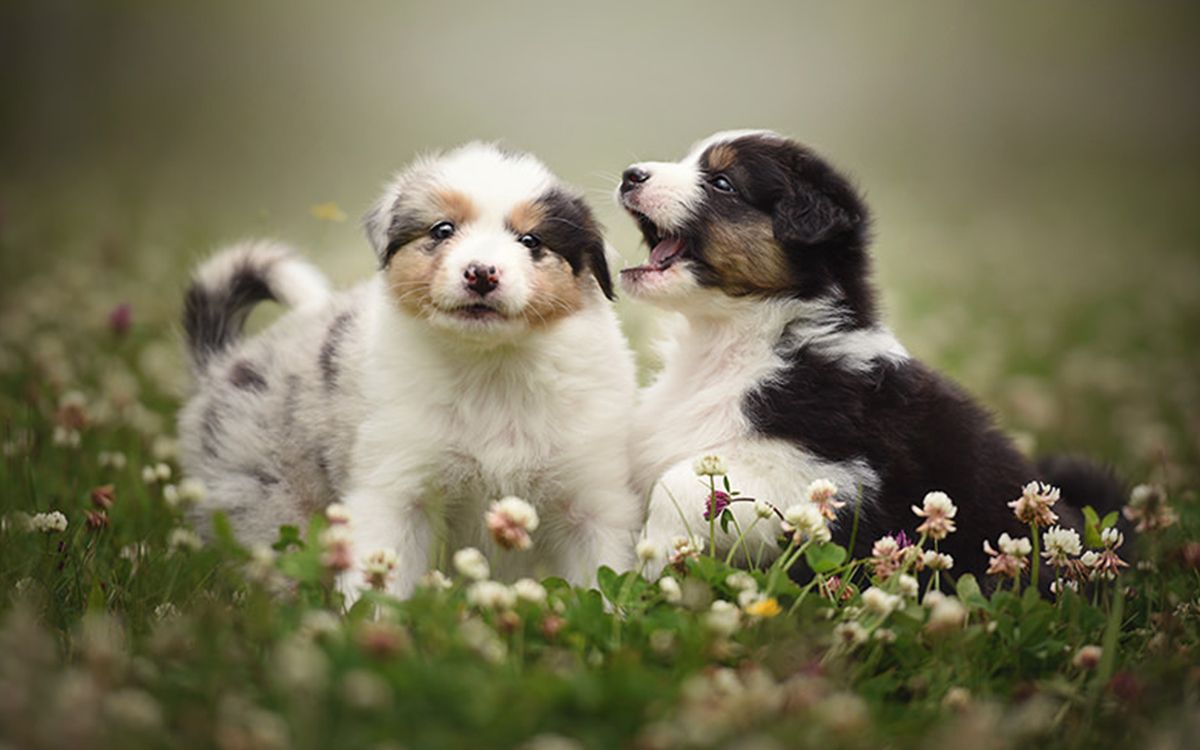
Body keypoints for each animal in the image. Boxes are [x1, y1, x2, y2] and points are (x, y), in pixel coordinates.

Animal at [619, 130, 1123, 585]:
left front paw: (652, 559)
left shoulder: (836, 476)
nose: (630, 175)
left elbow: (677, 483)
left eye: (723, 182)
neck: (729, 341)